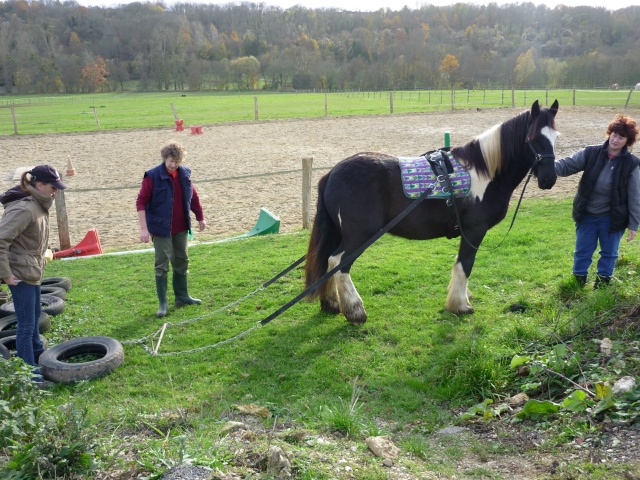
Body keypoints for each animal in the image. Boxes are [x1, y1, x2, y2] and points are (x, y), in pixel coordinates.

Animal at [302, 99, 556, 324]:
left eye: (555, 137)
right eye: (532, 138)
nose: (549, 179)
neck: (485, 174)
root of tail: (332, 172)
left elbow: (460, 264)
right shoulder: (474, 230)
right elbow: (465, 263)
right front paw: (460, 305)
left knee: (328, 262)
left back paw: (332, 304)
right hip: (359, 236)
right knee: (338, 263)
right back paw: (355, 311)